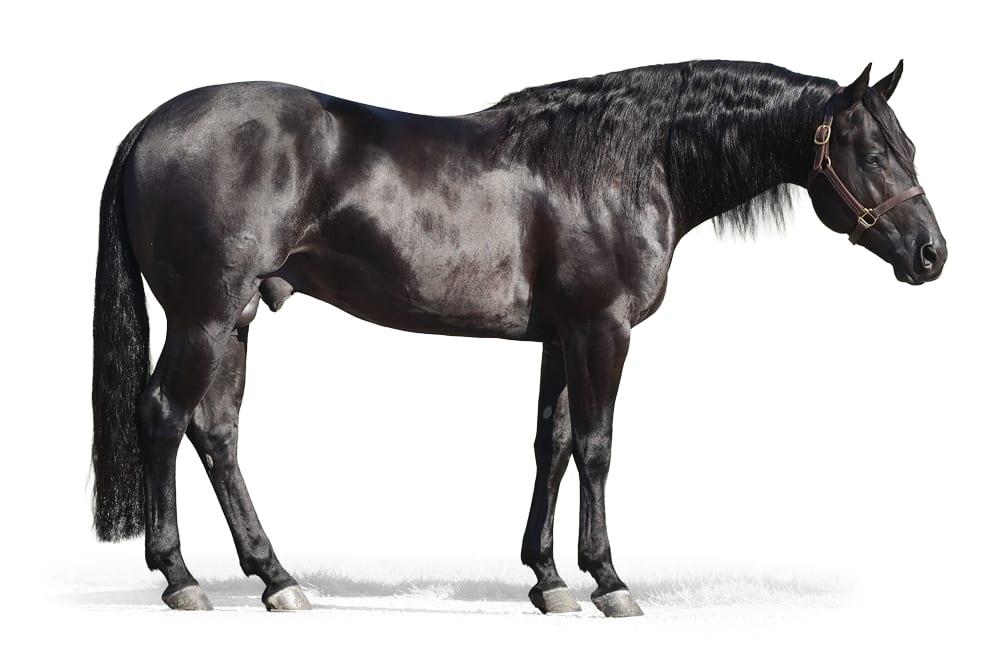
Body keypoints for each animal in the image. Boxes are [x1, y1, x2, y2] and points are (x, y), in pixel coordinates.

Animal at [92, 59, 946, 616]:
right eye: (872, 150)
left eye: (908, 147)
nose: (932, 253)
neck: (624, 163)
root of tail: (148, 127)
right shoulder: (602, 330)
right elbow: (597, 447)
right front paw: (609, 581)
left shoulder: (560, 338)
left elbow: (552, 444)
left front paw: (549, 579)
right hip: (204, 316)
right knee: (164, 415)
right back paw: (181, 578)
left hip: (234, 319)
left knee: (217, 432)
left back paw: (278, 578)